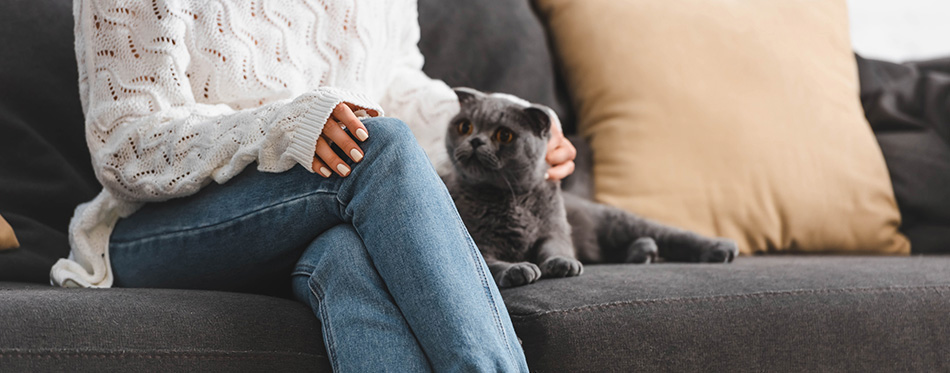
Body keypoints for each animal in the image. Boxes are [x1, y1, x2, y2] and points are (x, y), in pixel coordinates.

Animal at [442, 87, 740, 288]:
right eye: (465, 126)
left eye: (504, 135)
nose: (475, 141)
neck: (510, 198)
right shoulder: (476, 241)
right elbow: (486, 263)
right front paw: (518, 269)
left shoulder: (555, 230)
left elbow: (556, 248)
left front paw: (562, 264)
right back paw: (644, 251)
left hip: (616, 222)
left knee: (671, 234)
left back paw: (719, 248)